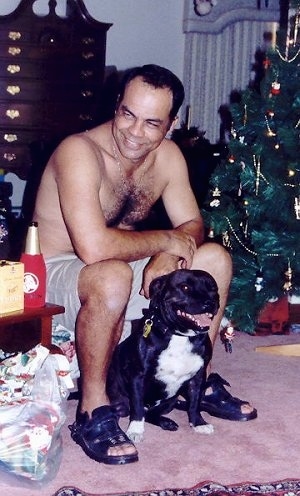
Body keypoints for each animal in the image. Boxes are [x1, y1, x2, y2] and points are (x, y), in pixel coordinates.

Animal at [106, 268, 219, 442]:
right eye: (185, 287)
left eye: (213, 288)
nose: (210, 302)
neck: (179, 335)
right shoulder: (138, 377)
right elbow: (137, 407)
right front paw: (136, 430)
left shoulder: (198, 377)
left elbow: (195, 403)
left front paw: (198, 423)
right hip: (120, 402)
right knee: (136, 410)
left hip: (170, 401)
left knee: (151, 414)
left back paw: (166, 422)